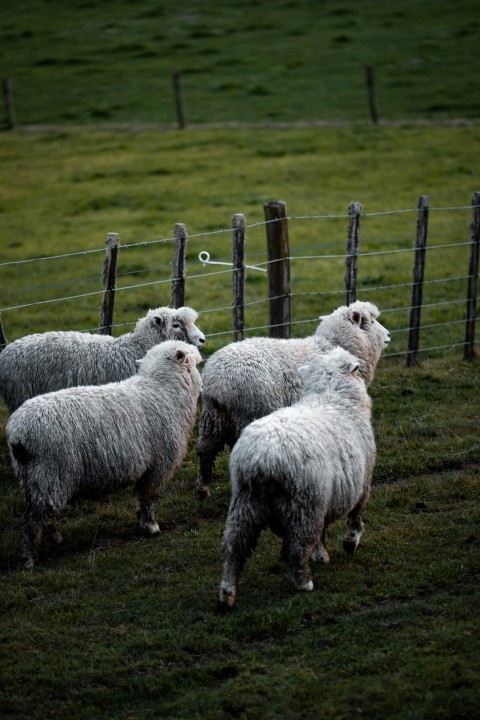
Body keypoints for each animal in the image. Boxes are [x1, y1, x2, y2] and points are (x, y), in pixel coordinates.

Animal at [6, 340, 203, 569]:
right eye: (194, 364)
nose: (203, 386)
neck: (163, 390)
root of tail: (18, 433)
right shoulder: (159, 465)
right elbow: (148, 496)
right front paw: (151, 526)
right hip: (51, 473)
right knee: (34, 520)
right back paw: (28, 558)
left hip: (33, 477)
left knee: (39, 513)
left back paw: (54, 538)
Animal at [196, 300, 389, 498]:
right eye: (372, 322)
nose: (388, 335)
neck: (332, 345)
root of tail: (218, 382)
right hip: (251, 412)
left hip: (212, 417)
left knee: (205, 449)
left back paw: (203, 489)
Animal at [218, 347, 376, 610]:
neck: (332, 397)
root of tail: (263, 458)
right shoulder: (361, 485)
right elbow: (355, 517)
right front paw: (349, 542)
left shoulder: (327, 498)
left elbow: (323, 531)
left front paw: (321, 554)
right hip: (305, 504)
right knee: (297, 546)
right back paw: (304, 582)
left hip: (244, 504)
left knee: (233, 548)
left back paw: (227, 594)